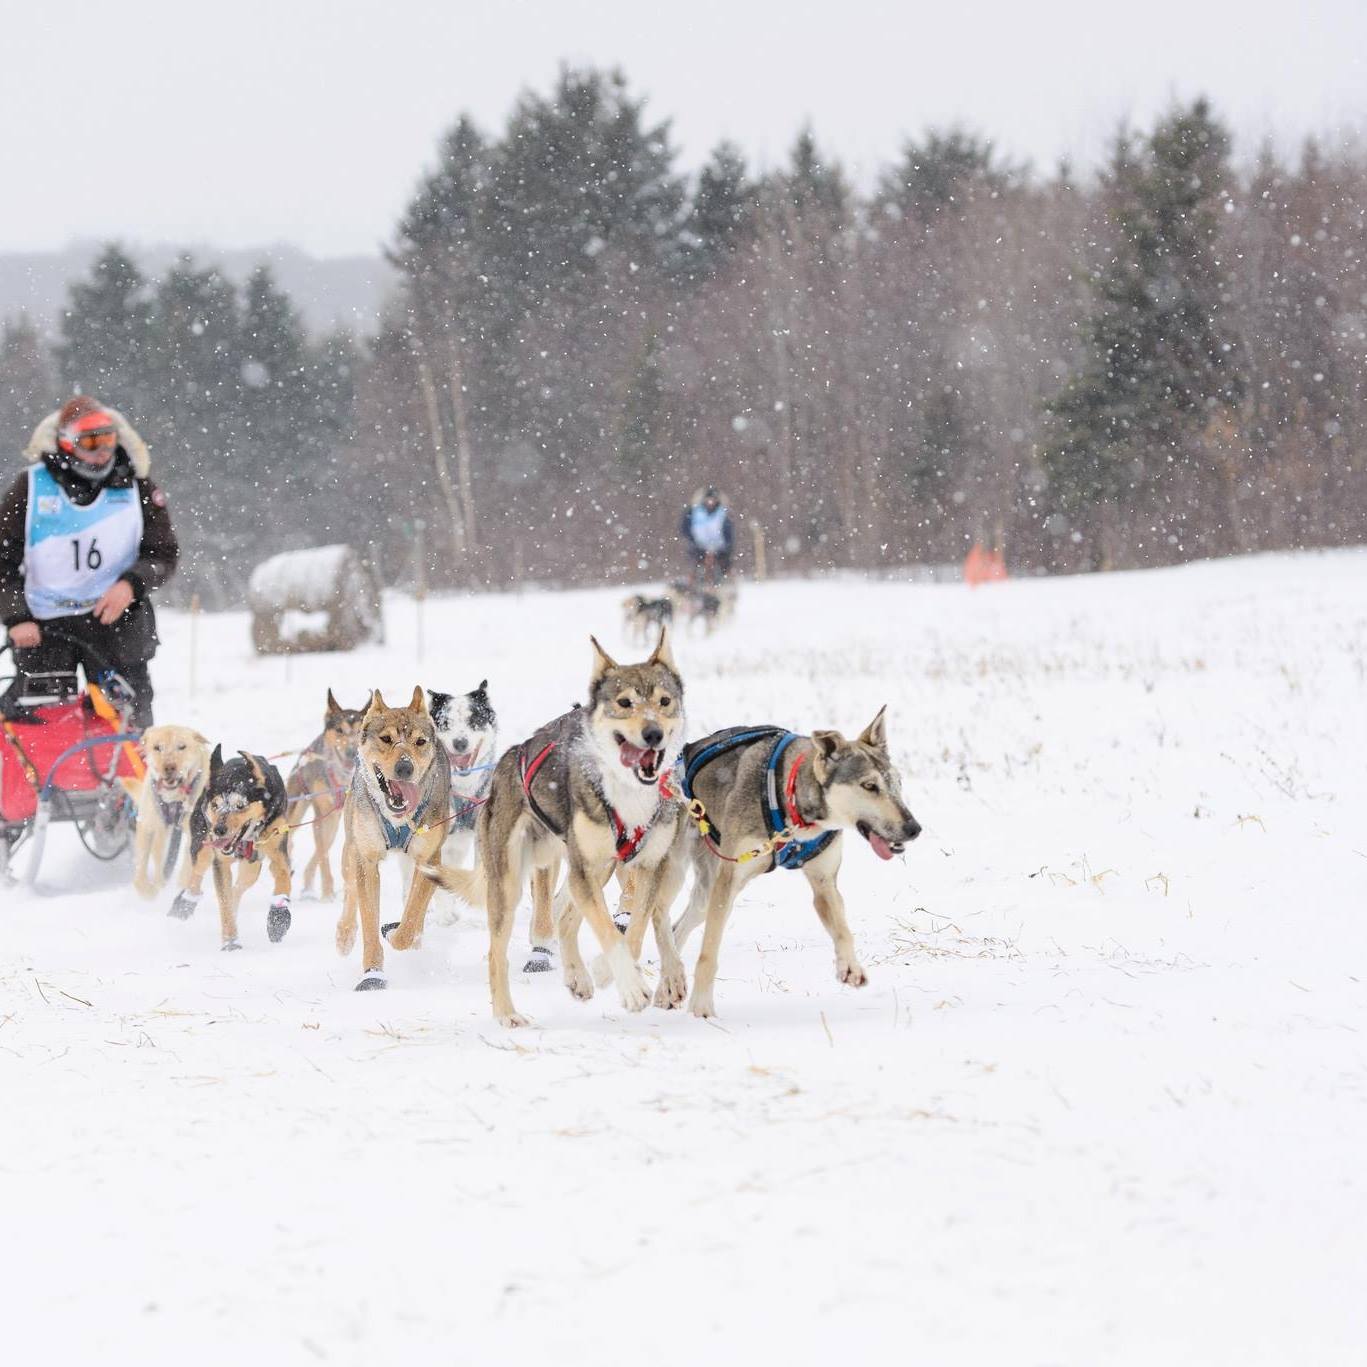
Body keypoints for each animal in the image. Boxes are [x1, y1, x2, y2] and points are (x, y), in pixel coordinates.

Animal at [120, 721, 210, 902]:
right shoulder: (149, 826)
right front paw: (149, 892)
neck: (174, 799)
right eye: (157, 747)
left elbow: (188, 867)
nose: (169, 767)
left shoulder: (197, 833)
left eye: (181, 746)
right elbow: (143, 869)